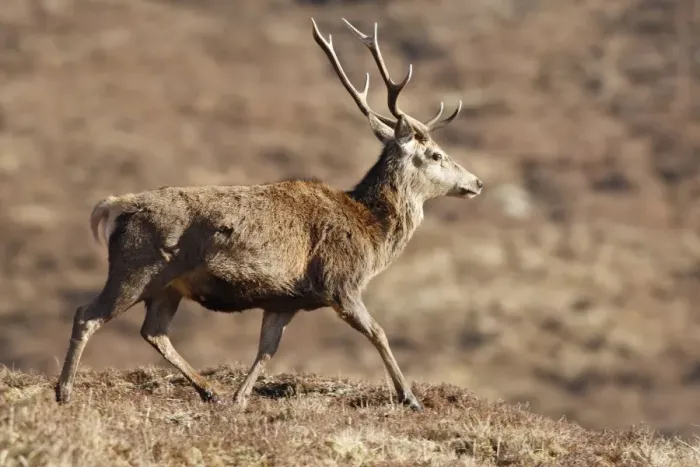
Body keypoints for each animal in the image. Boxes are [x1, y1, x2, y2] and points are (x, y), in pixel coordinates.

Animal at [54, 18, 483, 411]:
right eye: (436, 154)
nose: (477, 182)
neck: (372, 233)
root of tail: (115, 206)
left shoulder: (284, 300)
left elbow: (267, 349)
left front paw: (240, 398)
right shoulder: (340, 282)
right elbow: (378, 332)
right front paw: (410, 397)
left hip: (168, 285)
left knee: (154, 332)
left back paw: (210, 391)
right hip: (136, 268)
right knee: (87, 315)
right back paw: (64, 391)